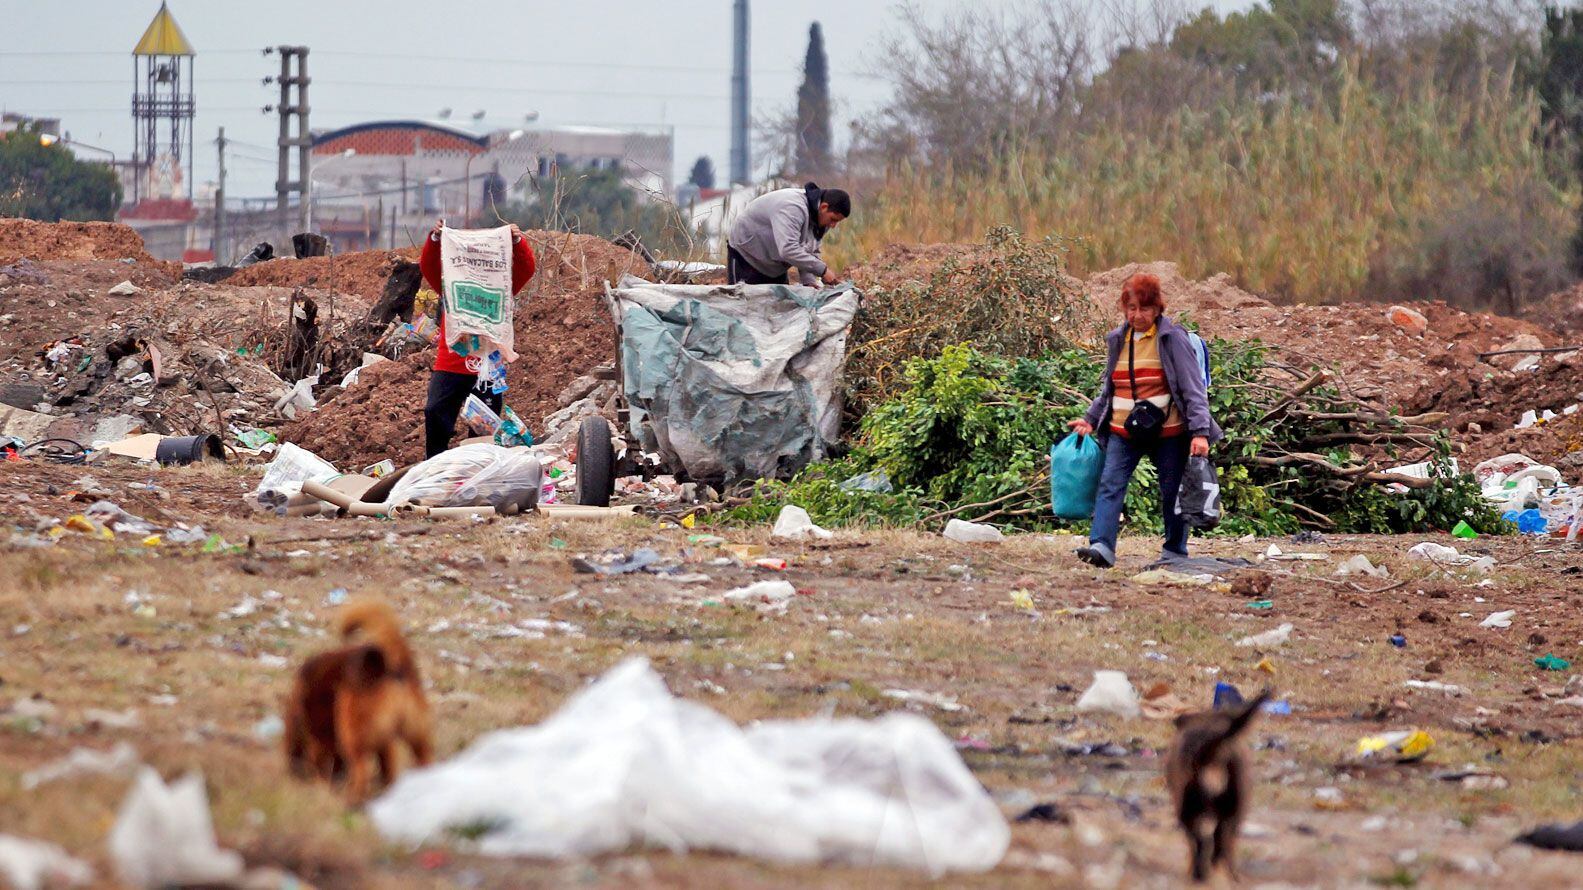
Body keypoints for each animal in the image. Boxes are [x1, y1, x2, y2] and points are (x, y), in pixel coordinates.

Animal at [283, 595, 433, 798]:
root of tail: (389, 667)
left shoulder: (323, 738)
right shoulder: (385, 742)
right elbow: (388, 765)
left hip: (353, 733)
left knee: (361, 769)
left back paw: (354, 797)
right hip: (415, 733)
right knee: (423, 758)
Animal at [1165, 687, 1272, 880]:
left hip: (1186, 805)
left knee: (1203, 841)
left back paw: (1201, 873)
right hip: (1236, 804)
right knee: (1222, 841)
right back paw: (1228, 873)